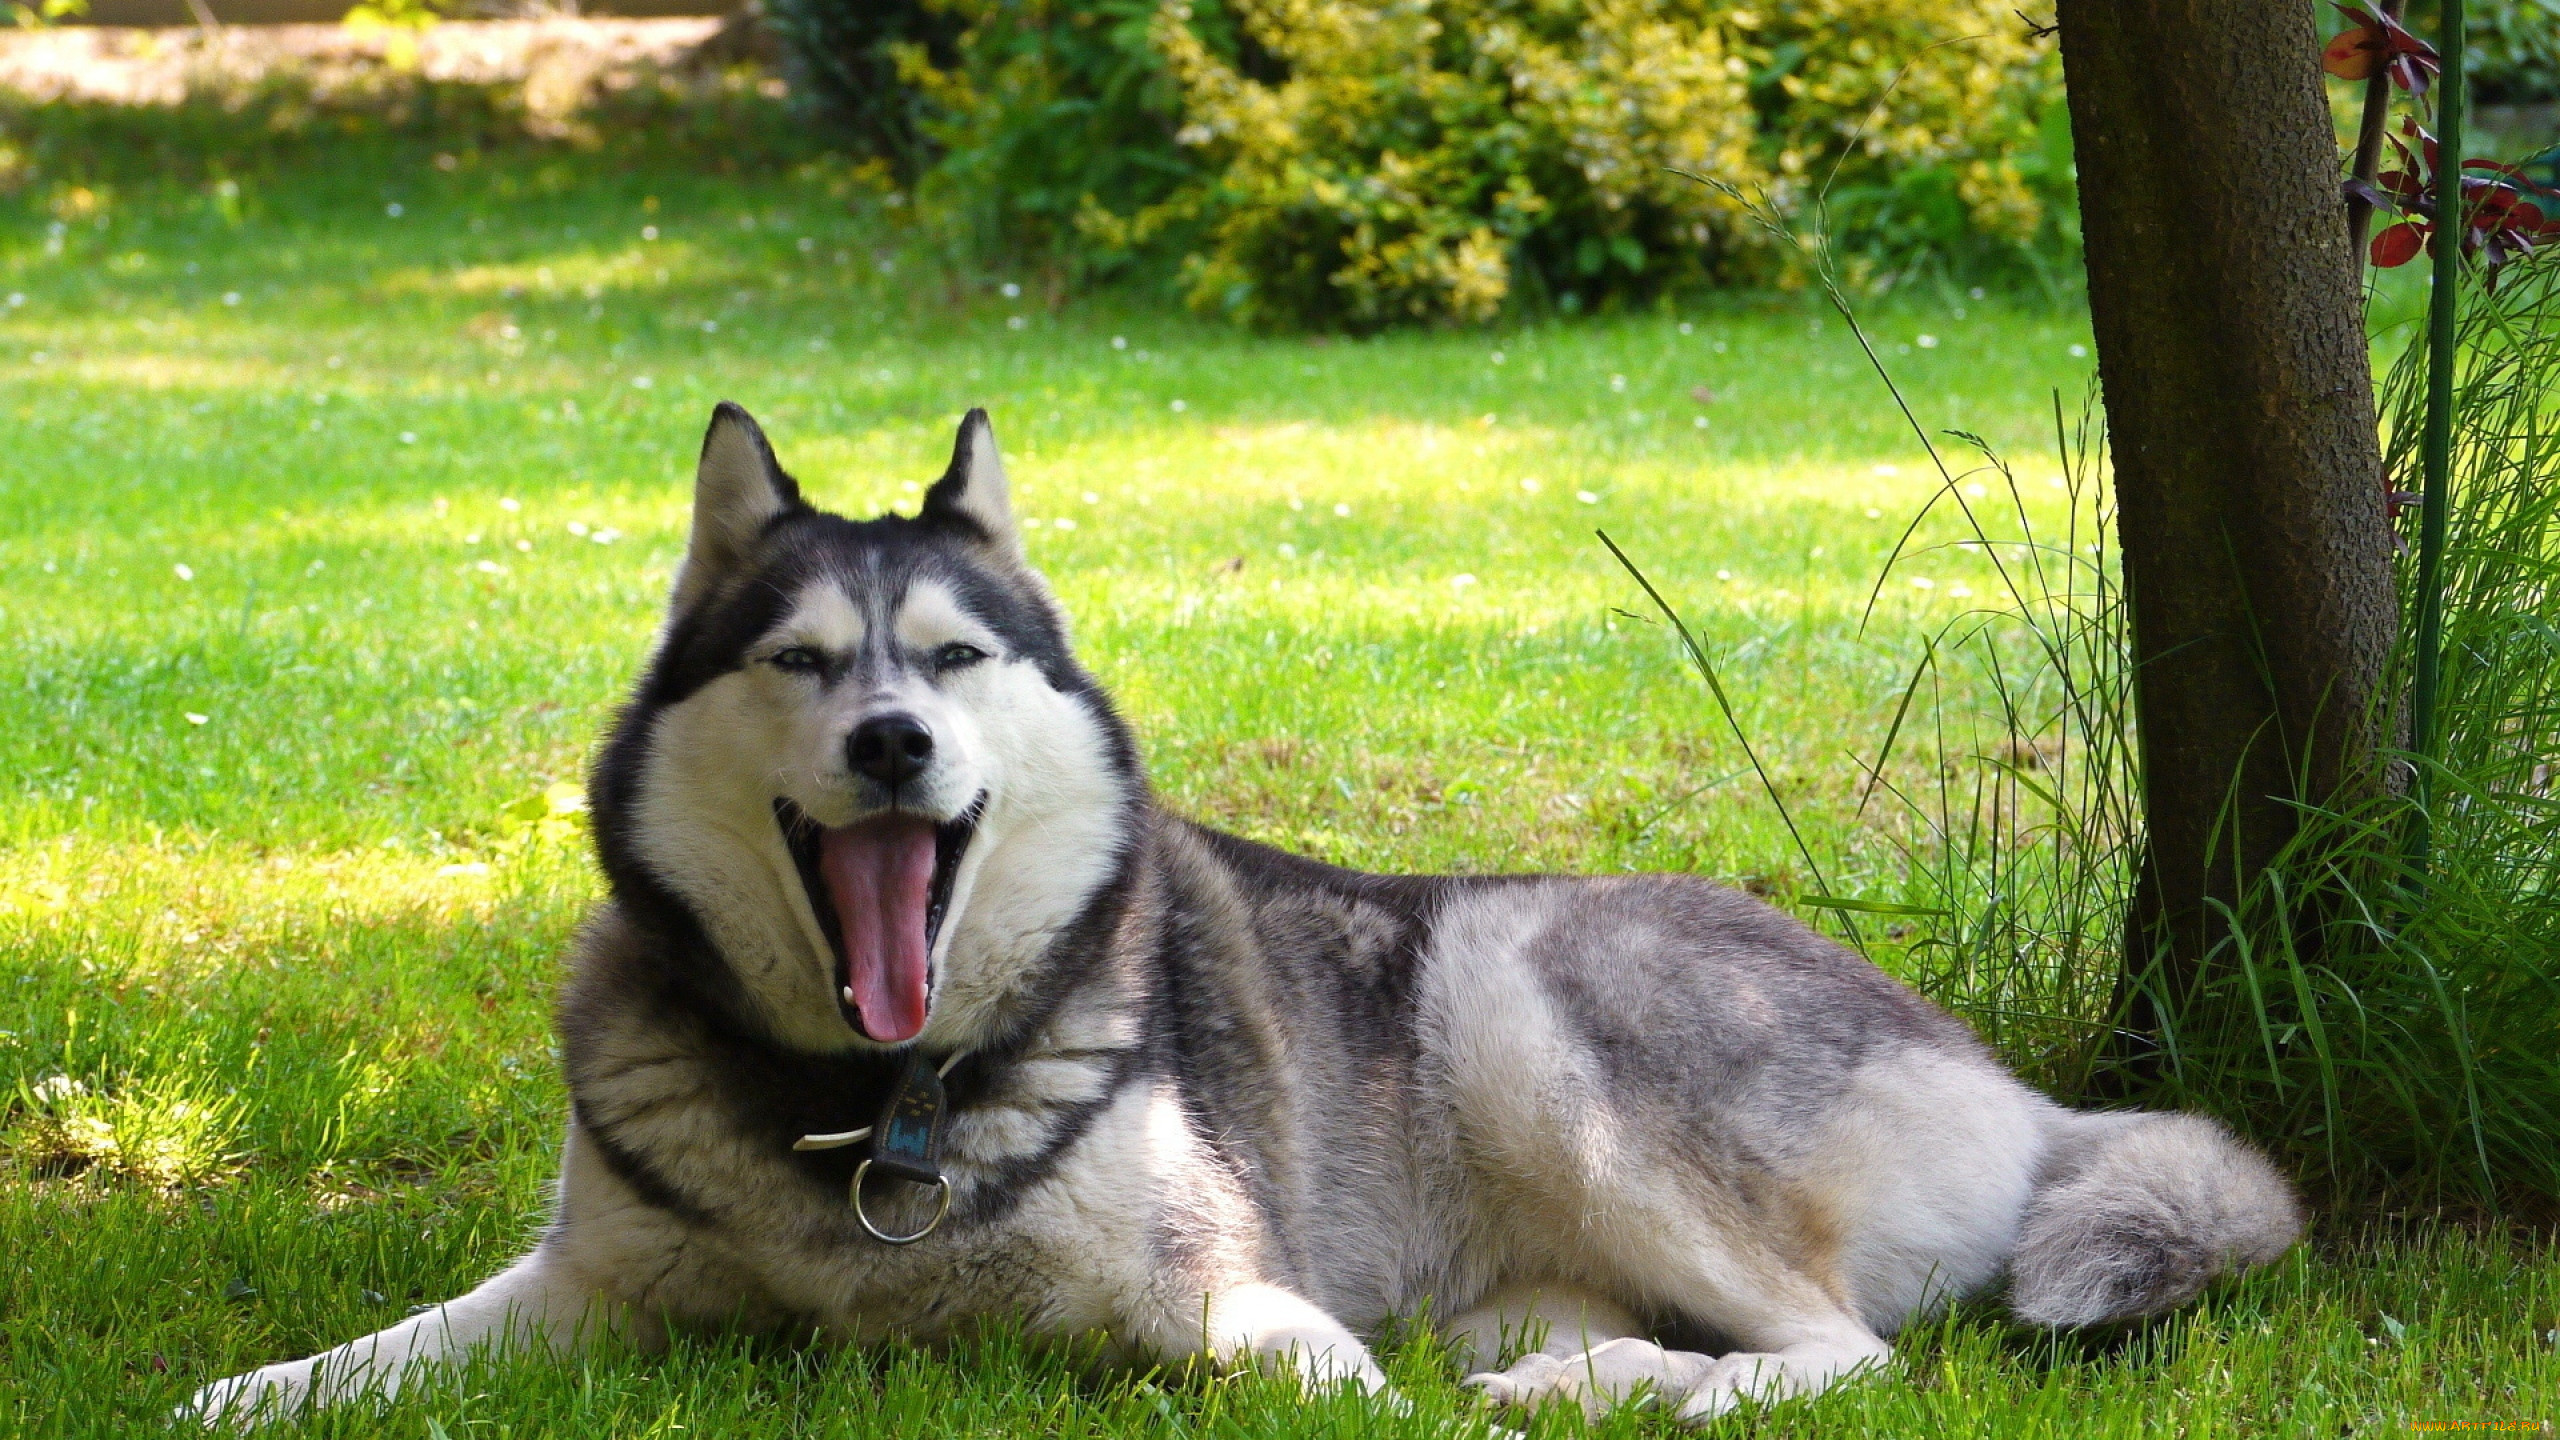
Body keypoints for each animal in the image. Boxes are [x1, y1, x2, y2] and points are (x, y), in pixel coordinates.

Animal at [180, 404, 2304, 1424]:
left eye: (953, 656)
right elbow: (363, 1359)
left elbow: (1278, 1367)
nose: (889, 741)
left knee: (1849, 1355)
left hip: (1517, 993)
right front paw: (236, 1390)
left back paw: (1609, 1392)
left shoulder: (1235, 1301)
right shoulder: (585, 1293)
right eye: (800, 662)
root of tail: (2028, 1094)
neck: (871, 1114)